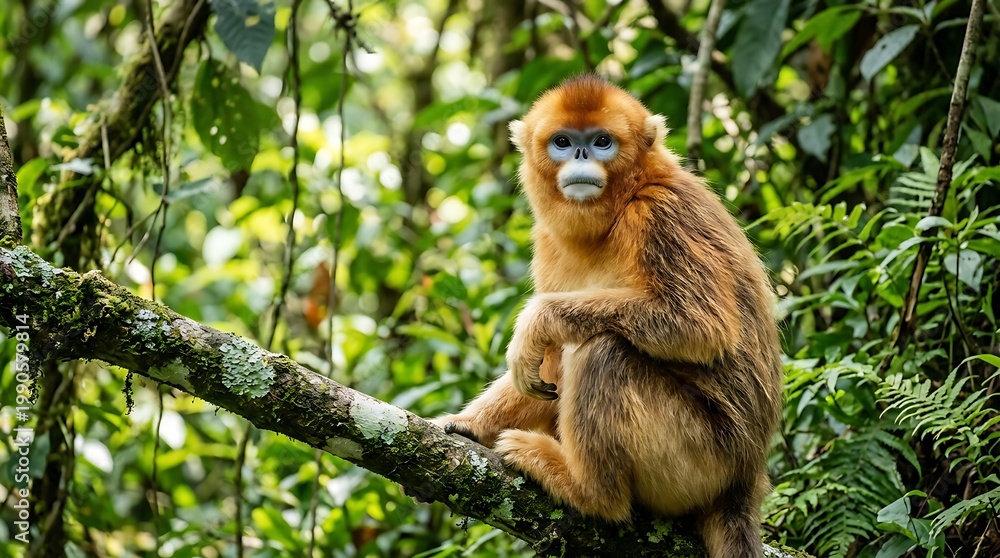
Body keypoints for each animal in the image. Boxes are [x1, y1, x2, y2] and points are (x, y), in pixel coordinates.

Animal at [431, 75, 783, 558]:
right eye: (562, 142)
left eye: (601, 142)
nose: (581, 156)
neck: (620, 207)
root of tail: (743, 485)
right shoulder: (548, 241)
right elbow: (546, 361)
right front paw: (469, 424)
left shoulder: (660, 211)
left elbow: (700, 325)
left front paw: (536, 321)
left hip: (700, 459)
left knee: (603, 350)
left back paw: (588, 491)